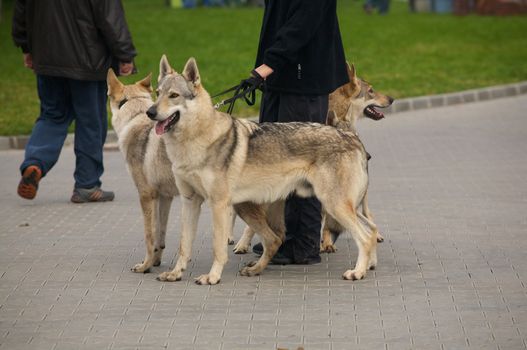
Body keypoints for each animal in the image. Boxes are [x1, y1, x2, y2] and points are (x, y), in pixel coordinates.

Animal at [146, 55, 386, 284]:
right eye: (157, 94)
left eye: (174, 95)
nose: (150, 112)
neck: (194, 141)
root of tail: (353, 138)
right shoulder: (190, 201)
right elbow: (183, 245)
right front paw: (175, 274)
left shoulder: (218, 204)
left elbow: (218, 247)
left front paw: (212, 277)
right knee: (370, 229)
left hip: (333, 204)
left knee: (365, 236)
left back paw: (357, 272)